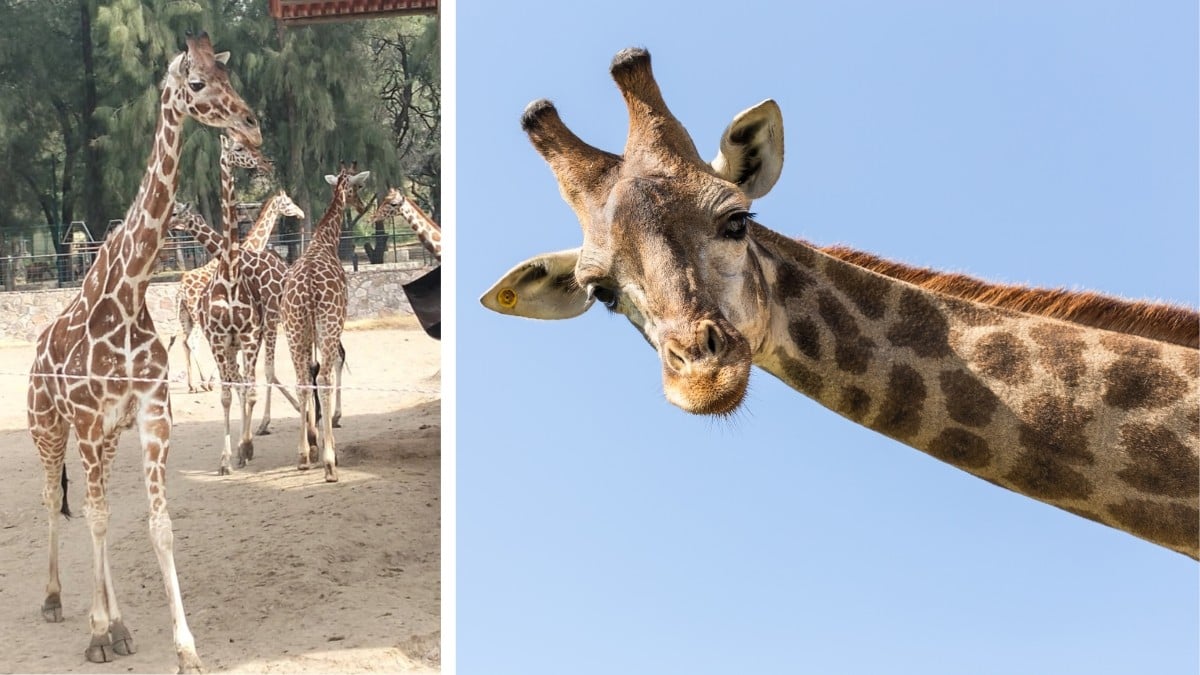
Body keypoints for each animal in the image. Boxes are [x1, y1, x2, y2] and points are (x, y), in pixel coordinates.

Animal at [27, 33, 260, 672]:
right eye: (197, 84)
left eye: (227, 75)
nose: (252, 127)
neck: (129, 291)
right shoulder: (85, 421)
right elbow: (98, 517)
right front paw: (96, 633)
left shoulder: (150, 413)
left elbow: (157, 524)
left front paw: (182, 647)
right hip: (48, 427)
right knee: (53, 500)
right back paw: (57, 601)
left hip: (105, 437)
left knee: (92, 504)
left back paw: (117, 620)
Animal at [170, 190, 304, 434]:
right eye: (288, 202)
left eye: (176, 212)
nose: (301, 213)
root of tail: (181, 289)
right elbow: (248, 373)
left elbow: (253, 372)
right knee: (189, 342)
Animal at [282, 163, 370, 482]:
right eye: (359, 186)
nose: (361, 205)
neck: (326, 239)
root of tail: (308, 286)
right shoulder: (337, 322)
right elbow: (337, 364)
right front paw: (332, 425)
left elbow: (310, 373)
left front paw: (313, 442)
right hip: (327, 325)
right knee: (325, 377)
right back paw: (331, 463)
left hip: (294, 329)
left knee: (302, 379)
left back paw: (303, 457)